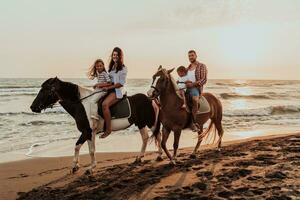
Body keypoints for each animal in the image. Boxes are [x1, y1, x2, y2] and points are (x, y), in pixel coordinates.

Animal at [30, 77, 162, 173]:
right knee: (145, 138)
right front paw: (75, 166)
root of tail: (151, 99)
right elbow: (77, 146)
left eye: (45, 90)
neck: (81, 104)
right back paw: (139, 158)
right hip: (141, 123)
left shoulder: (88, 131)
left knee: (158, 136)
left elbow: (91, 150)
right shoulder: (87, 132)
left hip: (151, 122)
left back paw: (160, 156)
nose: (33, 107)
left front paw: (91, 168)